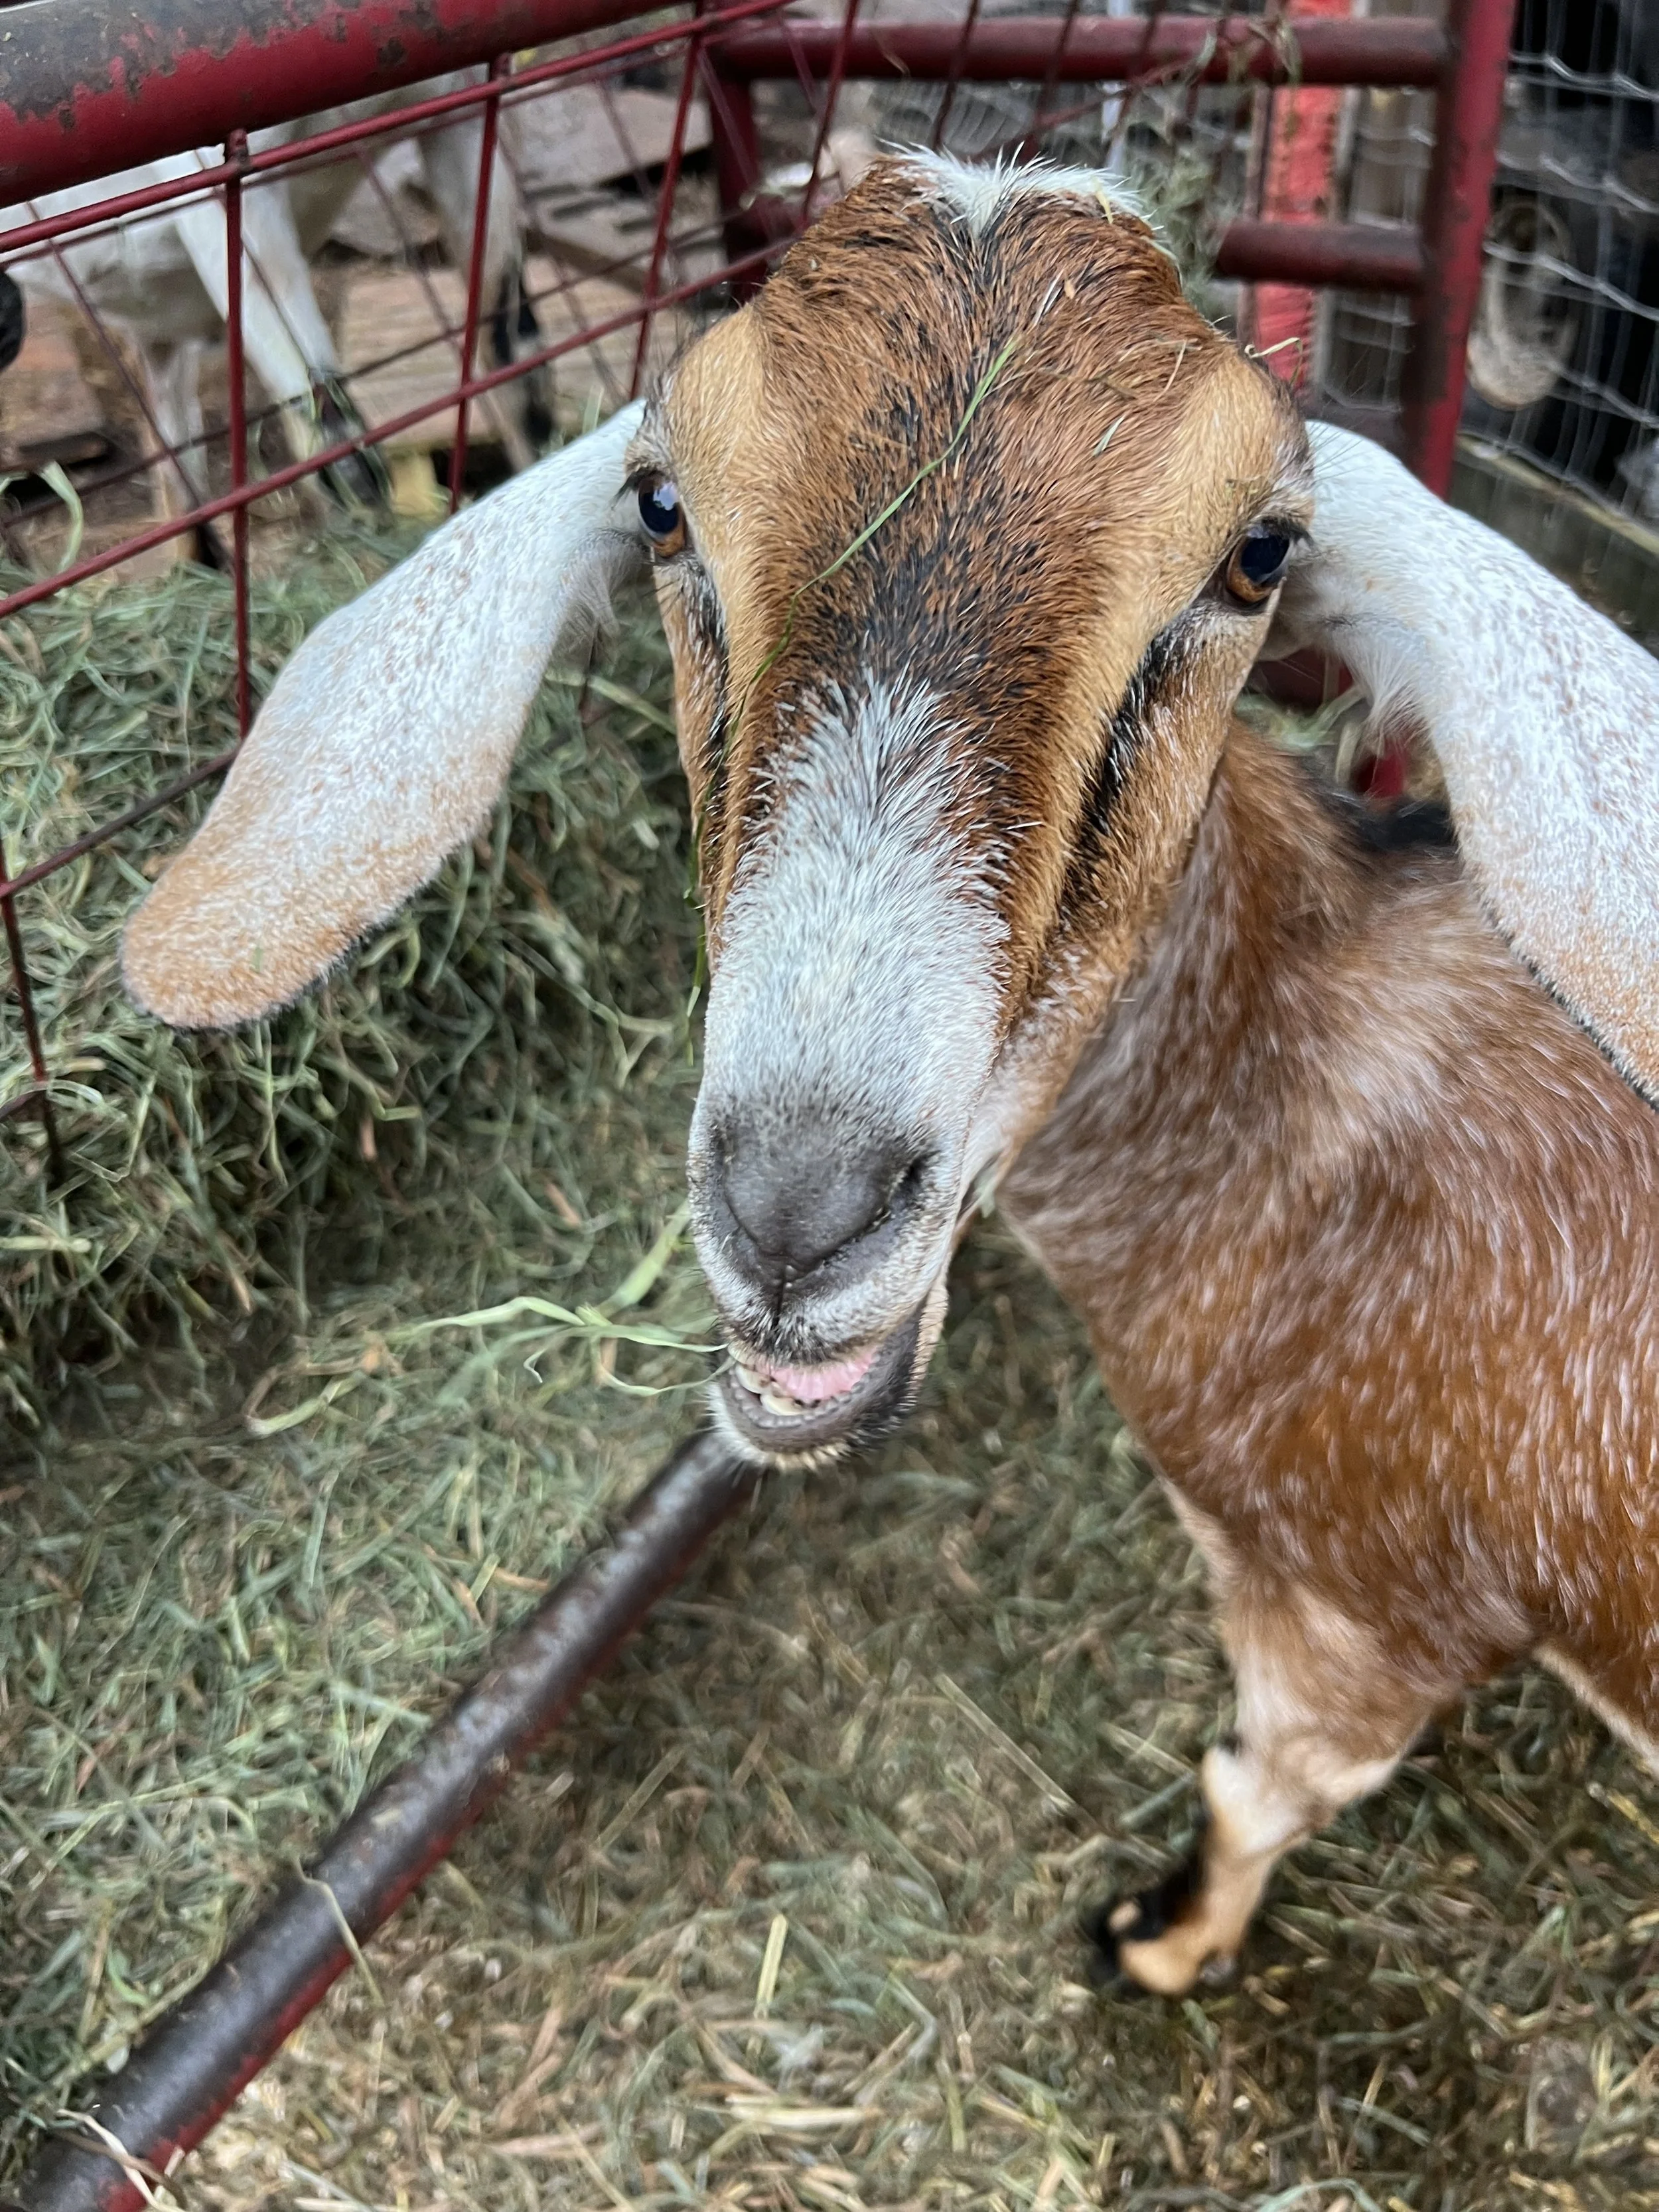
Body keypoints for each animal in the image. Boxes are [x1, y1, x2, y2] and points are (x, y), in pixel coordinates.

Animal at [120, 154, 1659, 2000]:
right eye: (661, 506)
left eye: (1257, 554)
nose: (799, 1209)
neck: (1295, 1099)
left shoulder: (1370, 1620)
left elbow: (1251, 1782)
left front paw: (1158, 1943)